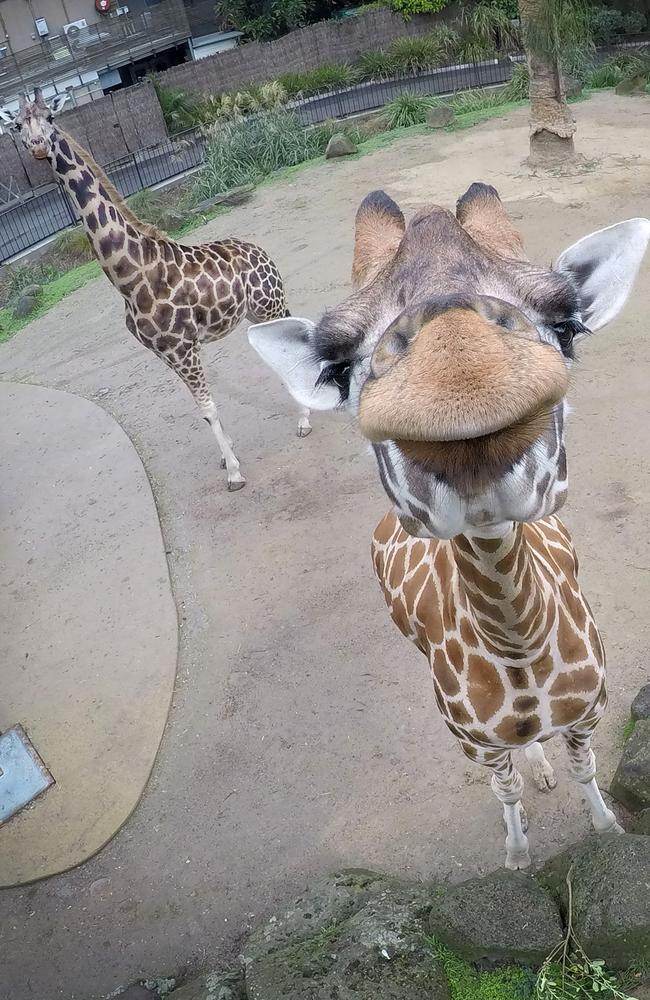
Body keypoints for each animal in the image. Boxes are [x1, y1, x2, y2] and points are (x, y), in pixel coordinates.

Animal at [0, 89, 312, 488]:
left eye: (51, 117)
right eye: (17, 125)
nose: (39, 147)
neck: (131, 276)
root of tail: (261, 251)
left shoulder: (182, 348)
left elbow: (208, 408)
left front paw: (234, 472)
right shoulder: (164, 353)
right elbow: (201, 408)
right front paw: (227, 456)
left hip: (270, 303)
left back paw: (304, 421)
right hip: (255, 313)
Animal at [247, 186, 648, 868]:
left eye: (568, 324)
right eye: (337, 367)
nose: (461, 370)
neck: (520, 653)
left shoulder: (590, 710)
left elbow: (586, 770)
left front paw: (607, 831)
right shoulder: (472, 740)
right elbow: (506, 791)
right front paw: (517, 860)